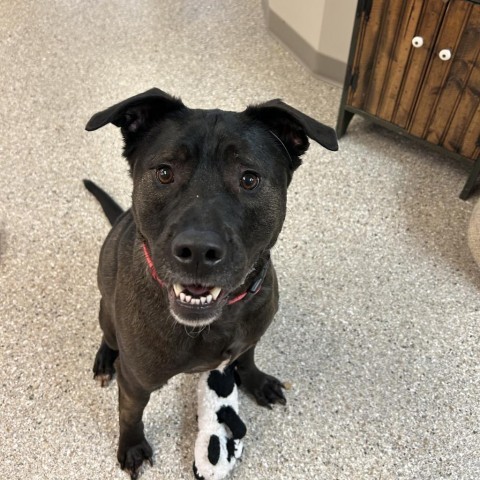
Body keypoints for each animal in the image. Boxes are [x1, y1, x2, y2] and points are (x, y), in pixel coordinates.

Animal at [83, 88, 338, 478]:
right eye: (164, 172)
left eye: (249, 179)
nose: (199, 251)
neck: (216, 322)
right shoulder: (135, 381)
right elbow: (129, 414)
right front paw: (132, 446)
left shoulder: (251, 336)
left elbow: (246, 357)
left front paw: (256, 381)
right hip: (106, 313)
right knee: (108, 335)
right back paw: (104, 359)